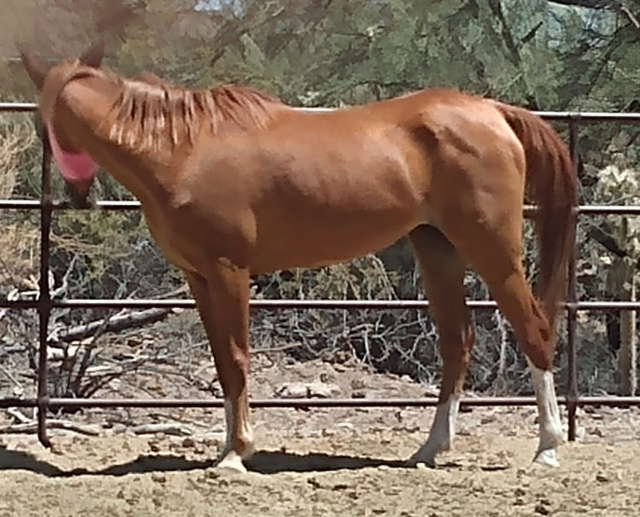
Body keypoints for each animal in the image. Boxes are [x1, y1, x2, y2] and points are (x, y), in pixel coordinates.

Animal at [21, 42, 576, 474]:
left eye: (44, 123)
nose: (76, 196)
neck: (181, 152)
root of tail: (494, 112)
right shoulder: (199, 277)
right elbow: (222, 363)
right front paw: (226, 450)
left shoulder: (229, 271)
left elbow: (238, 358)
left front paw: (237, 454)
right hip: (437, 249)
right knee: (457, 343)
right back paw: (429, 449)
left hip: (492, 248)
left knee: (533, 330)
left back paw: (548, 449)